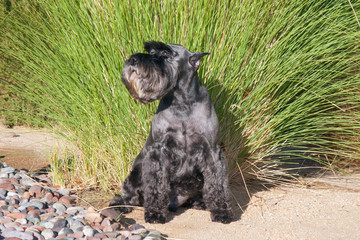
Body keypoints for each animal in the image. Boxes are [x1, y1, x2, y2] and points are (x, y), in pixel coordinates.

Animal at [109, 40, 233, 223]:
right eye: (151, 51)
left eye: (166, 53)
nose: (132, 60)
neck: (182, 103)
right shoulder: (158, 152)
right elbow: (155, 185)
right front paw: (155, 213)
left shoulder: (212, 151)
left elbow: (217, 184)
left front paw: (222, 211)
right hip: (136, 172)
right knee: (128, 194)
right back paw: (120, 204)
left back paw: (201, 202)